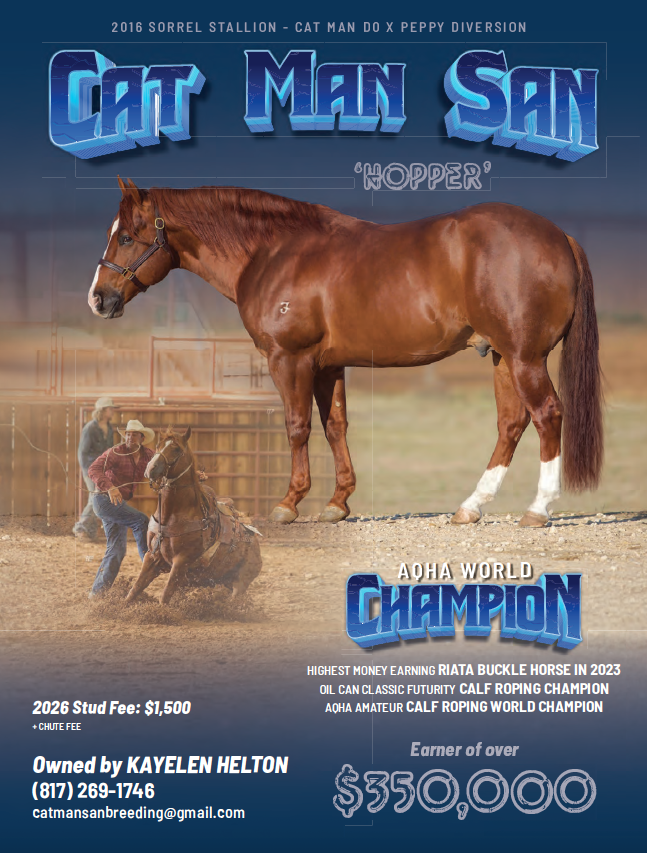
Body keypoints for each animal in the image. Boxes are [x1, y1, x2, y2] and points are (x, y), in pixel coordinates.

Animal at [89, 178, 603, 529]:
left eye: (128, 236)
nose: (98, 299)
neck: (274, 253)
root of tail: (559, 237)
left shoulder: (289, 359)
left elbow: (296, 426)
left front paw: (288, 504)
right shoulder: (328, 365)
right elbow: (335, 426)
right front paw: (337, 504)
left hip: (524, 358)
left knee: (547, 414)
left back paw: (537, 509)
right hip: (502, 356)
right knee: (511, 424)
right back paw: (470, 507)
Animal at [125, 426, 262, 605]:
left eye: (176, 449)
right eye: (157, 446)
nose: (150, 469)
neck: (173, 515)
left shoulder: (181, 561)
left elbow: (165, 595)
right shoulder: (151, 556)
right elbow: (134, 590)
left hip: (241, 582)